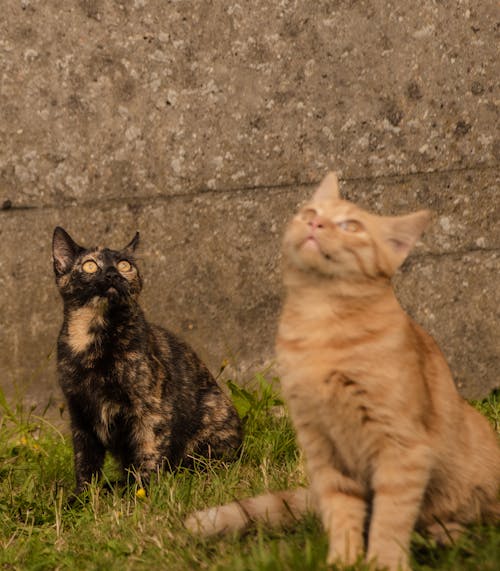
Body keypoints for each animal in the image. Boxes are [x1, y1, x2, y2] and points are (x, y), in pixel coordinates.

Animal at [52, 226, 242, 494]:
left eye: (125, 264)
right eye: (90, 266)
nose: (112, 273)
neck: (91, 339)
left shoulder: (150, 409)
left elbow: (148, 453)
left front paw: (142, 494)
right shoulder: (80, 417)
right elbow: (85, 464)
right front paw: (81, 499)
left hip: (212, 413)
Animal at [185, 174, 500, 571]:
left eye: (352, 226)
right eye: (310, 213)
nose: (315, 224)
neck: (320, 325)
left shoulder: (402, 449)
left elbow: (390, 517)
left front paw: (383, 563)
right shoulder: (324, 448)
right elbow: (342, 512)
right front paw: (344, 560)